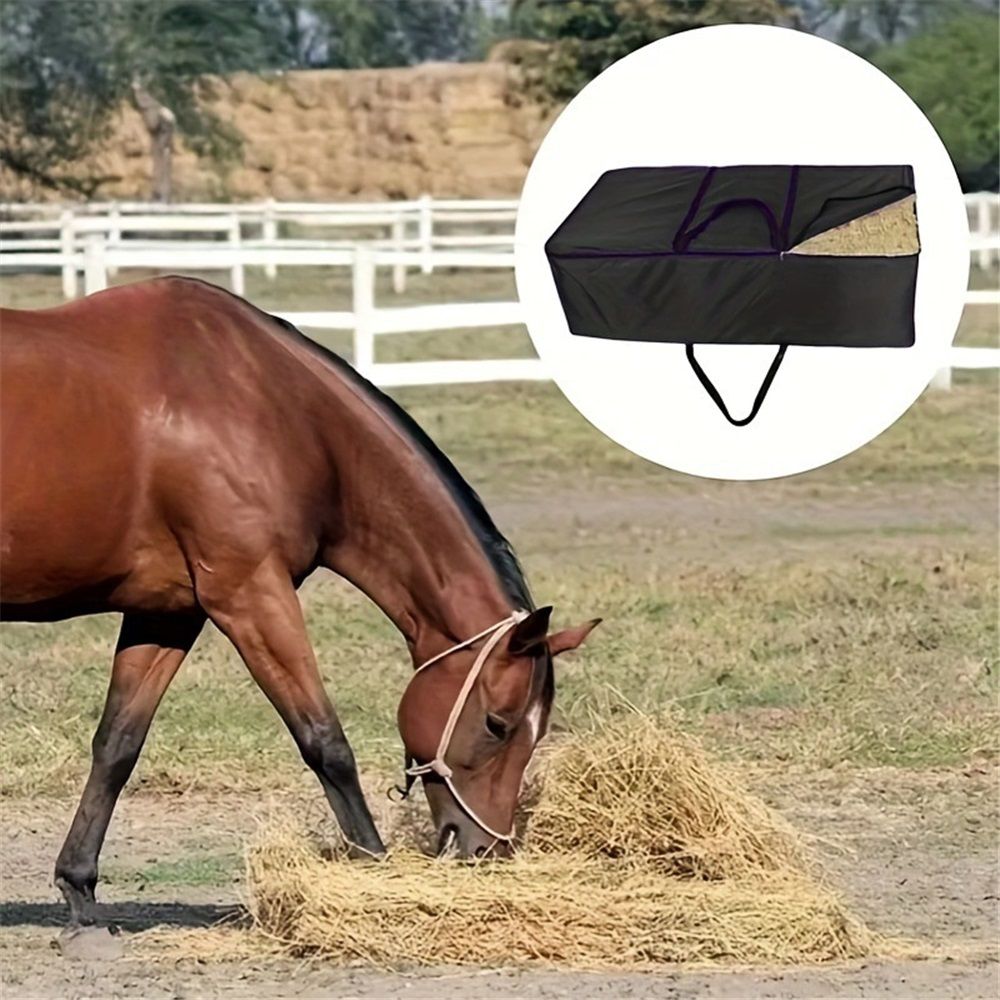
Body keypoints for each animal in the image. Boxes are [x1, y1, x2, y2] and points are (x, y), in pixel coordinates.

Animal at [0, 276, 600, 934]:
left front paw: (80, 890)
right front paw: (372, 874)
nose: (486, 848)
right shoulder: (251, 596)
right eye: (499, 724)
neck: (272, 407)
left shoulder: (168, 613)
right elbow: (324, 741)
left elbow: (118, 744)